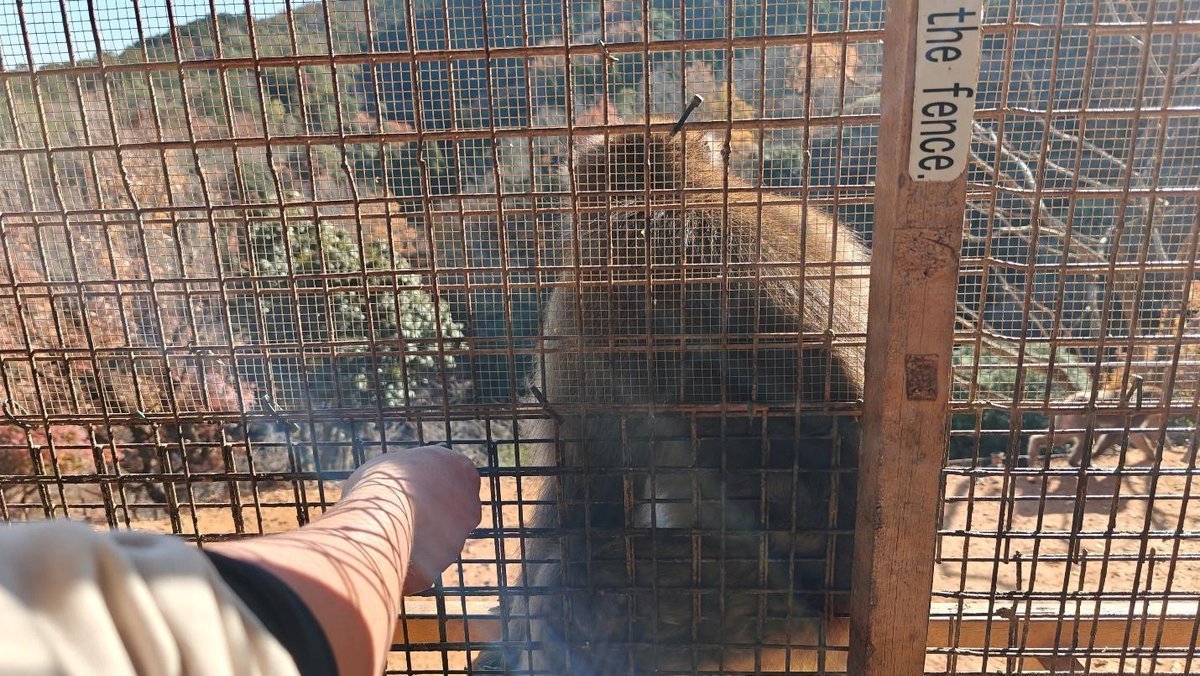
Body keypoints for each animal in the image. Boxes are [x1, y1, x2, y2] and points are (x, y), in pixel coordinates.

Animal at [1025, 385, 1168, 472]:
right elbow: (1117, 432)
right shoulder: (1138, 413)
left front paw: (1152, 456)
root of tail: (1069, 401)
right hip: (1077, 418)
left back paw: (1072, 462)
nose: (1161, 412)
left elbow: (1135, 435)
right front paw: (1095, 454)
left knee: (1066, 437)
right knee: (1080, 437)